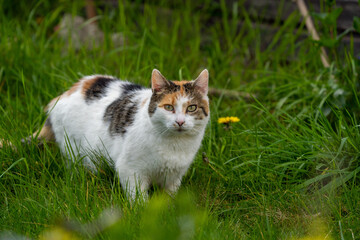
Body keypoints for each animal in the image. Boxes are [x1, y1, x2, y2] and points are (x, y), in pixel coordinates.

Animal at [7, 68, 210, 200]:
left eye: (191, 108)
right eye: (168, 107)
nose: (180, 122)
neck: (174, 145)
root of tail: (63, 94)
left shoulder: (174, 177)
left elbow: (169, 199)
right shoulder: (130, 170)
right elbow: (139, 199)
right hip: (74, 150)